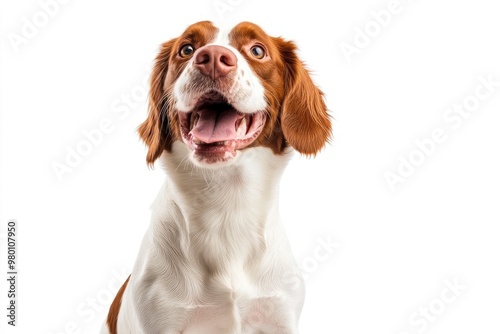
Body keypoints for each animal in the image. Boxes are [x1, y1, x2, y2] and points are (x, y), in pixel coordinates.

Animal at [101, 21, 332, 334]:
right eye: (186, 49)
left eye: (257, 50)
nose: (211, 58)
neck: (226, 209)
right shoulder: (159, 316)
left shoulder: (279, 315)